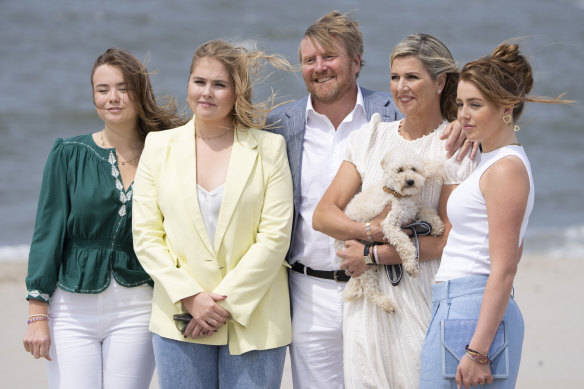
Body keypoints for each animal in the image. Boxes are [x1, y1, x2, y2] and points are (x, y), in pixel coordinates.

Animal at [338, 149, 442, 312]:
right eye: (399, 170)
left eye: (414, 169)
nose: (410, 181)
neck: (398, 194)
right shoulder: (389, 224)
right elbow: (405, 245)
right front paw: (411, 266)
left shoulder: (414, 208)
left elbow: (427, 211)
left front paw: (437, 226)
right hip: (362, 262)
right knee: (369, 288)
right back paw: (386, 304)